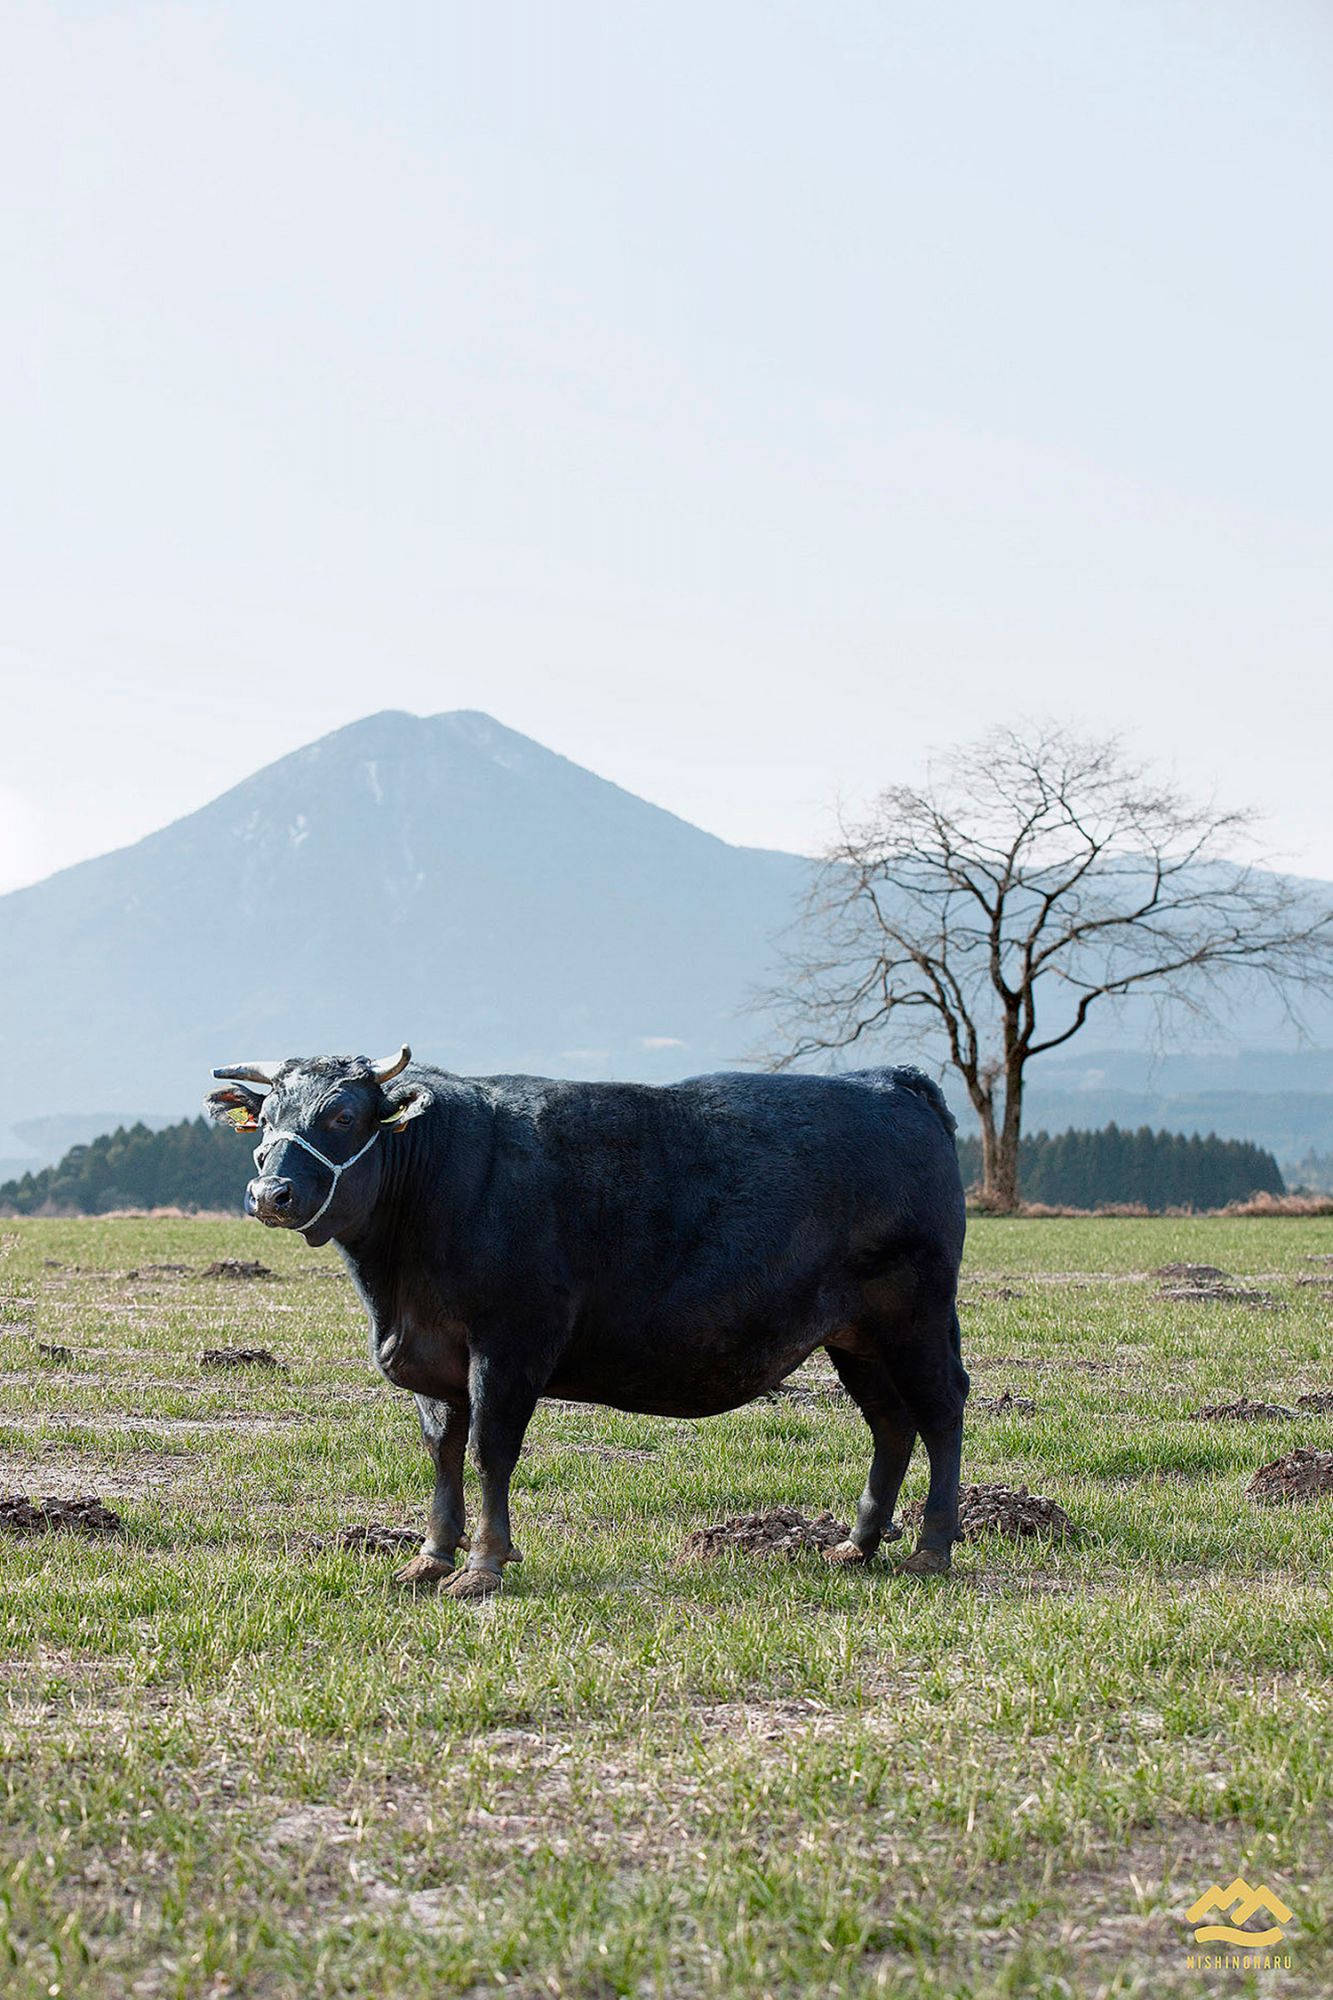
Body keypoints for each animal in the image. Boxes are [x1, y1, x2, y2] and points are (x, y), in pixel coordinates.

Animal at [206, 1045, 968, 1598]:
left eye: (341, 1116)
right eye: (267, 1117)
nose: (269, 1192)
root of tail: (887, 1080)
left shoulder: (510, 1343)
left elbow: (489, 1450)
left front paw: (482, 1567)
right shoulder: (434, 1356)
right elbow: (443, 1451)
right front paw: (430, 1557)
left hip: (917, 1312)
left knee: (940, 1409)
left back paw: (930, 1548)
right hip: (856, 1334)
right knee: (890, 1422)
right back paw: (857, 1544)